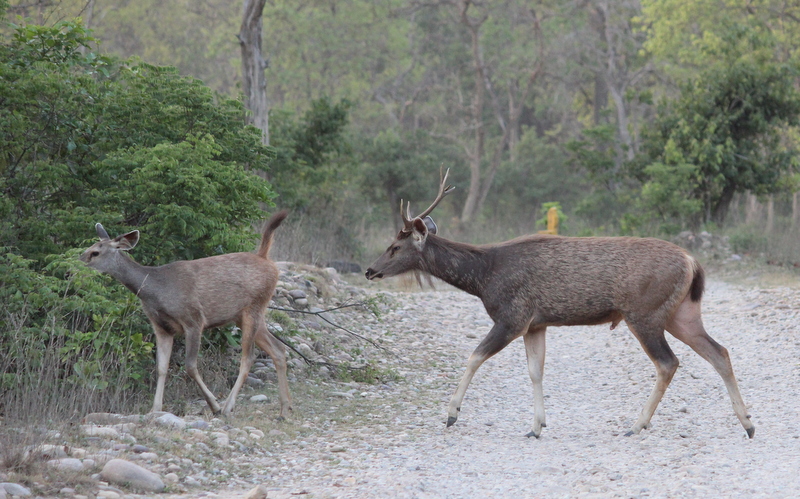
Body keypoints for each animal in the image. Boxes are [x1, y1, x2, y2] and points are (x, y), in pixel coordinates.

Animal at [80, 211, 290, 418]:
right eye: (88, 248)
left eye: (95, 252)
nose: (80, 260)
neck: (156, 290)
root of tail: (266, 259)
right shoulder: (161, 327)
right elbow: (161, 368)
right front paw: (154, 409)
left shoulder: (194, 320)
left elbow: (190, 366)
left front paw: (214, 405)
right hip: (245, 316)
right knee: (278, 349)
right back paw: (284, 409)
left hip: (254, 308)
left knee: (248, 357)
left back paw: (228, 407)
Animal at [366, 170, 752, 440]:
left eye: (395, 246)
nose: (370, 270)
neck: (483, 278)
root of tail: (692, 261)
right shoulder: (536, 323)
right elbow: (536, 370)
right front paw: (537, 425)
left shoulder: (512, 315)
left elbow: (475, 356)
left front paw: (451, 414)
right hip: (681, 312)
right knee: (719, 351)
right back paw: (747, 423)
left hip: (645, 312)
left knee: (669, 362)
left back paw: (636, 424)